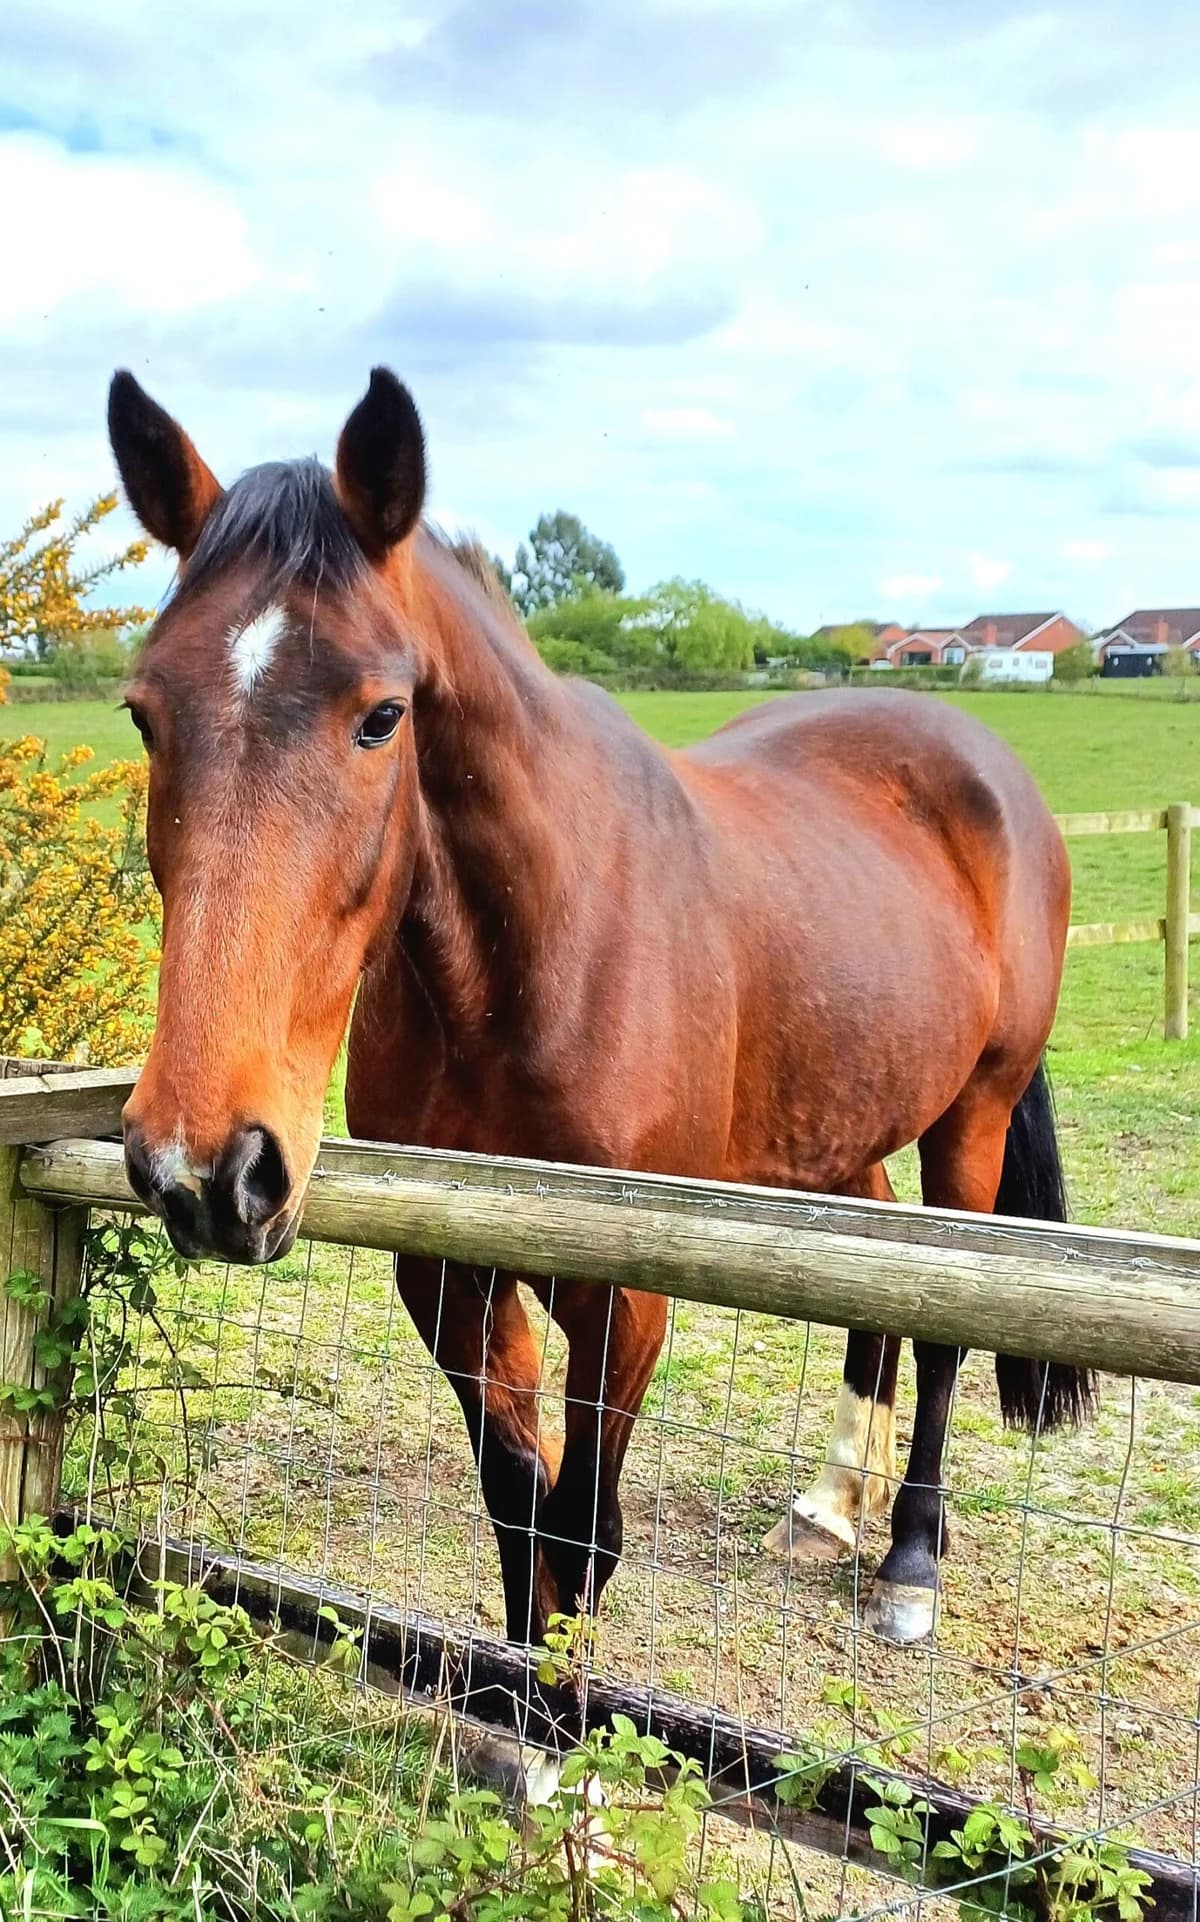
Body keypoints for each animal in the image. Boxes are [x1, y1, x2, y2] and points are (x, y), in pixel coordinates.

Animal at [107, 365, 1095, 1660]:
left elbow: (582, 1536)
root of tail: (986, 764)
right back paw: (831, 1502)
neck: (526, 970)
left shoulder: (622, 1298)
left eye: (382, 714)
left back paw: (908, 1556)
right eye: (143, 711)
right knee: (873, 1290)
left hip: (973, 1110)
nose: (207, 1166)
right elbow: (516, 1511)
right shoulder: (450, 1274)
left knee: (939, 1334)